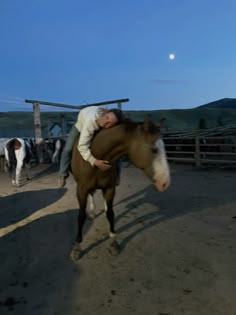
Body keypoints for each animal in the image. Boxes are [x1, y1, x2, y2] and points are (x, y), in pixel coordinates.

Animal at [69, 117, 171, 260]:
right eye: (154, 149)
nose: (165, 183)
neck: (96, 156)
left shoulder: (109, 188)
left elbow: (111, 213)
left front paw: (113, 241)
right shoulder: (81, 190)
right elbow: (81, 216)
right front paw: (77, 247)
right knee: (91, 195)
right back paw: (92, 213)